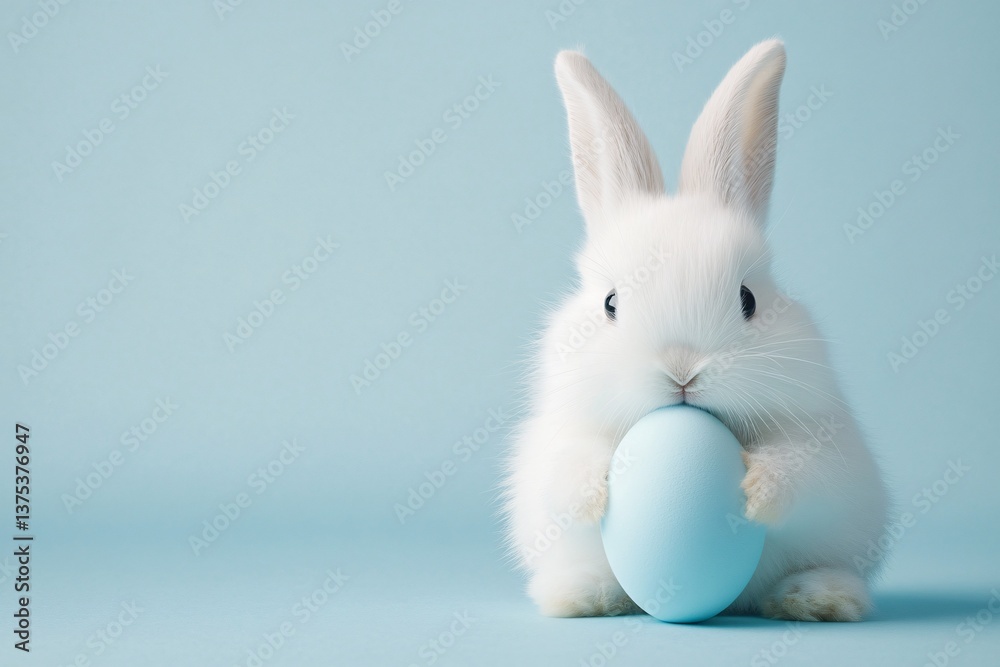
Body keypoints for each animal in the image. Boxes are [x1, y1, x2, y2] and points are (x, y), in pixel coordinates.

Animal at [502, 39, 889, 622]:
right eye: (610, 303)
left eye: (748, 300)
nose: (681, 372)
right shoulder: (558, 439)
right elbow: (568, 469)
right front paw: (595, 493)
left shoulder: (825, 443)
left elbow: (802, 471)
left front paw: (755, 489)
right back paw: (581, 594)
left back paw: (817, 598)